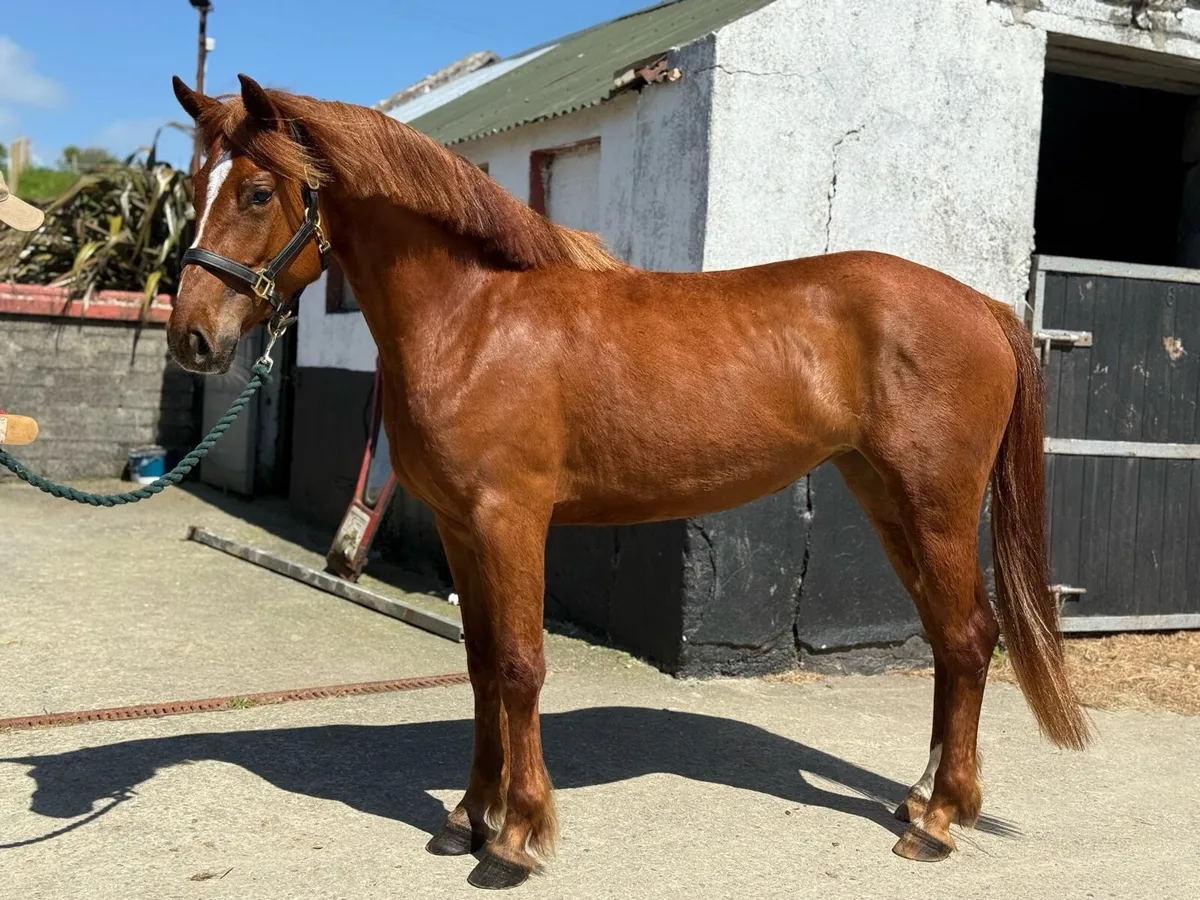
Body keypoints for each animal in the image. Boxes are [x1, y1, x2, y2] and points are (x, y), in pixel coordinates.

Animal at [167, 73, 1090, 889]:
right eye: (192, 185)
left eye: (257, 192)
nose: (192, 340)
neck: (475, 321)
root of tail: (983, 305)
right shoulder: (462, 528)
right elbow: (479, 666)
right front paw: (467, 816)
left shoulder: (510, 521)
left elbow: (520, 666)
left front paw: (516, 839)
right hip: (884, 499)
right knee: (947, 640)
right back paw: (923, 798)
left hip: (935, 507)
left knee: (968, 637)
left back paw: (937, 823)